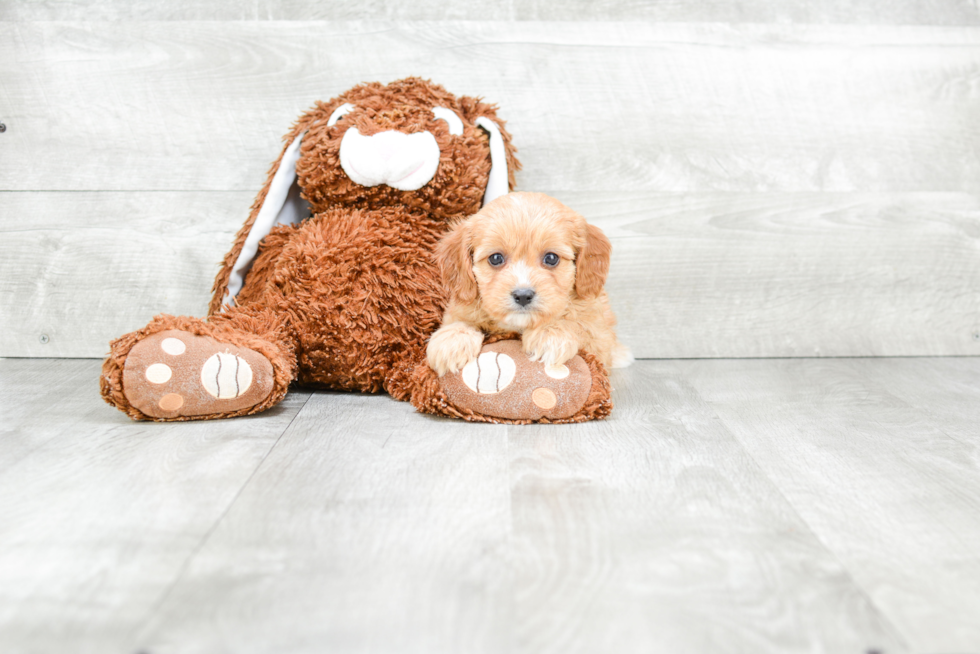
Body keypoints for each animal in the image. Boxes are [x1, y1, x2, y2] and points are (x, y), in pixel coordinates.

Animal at [424, 192, 632, 376]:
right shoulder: (459, 309)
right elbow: (460, 322)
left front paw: (550, 334)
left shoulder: (600, 335)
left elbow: (579, 326)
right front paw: (451, 341)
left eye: (551, 258)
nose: (523, 295)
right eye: (496, 258)